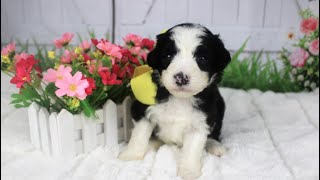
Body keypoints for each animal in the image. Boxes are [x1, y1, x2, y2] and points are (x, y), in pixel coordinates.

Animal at [117, 23, 230, 179]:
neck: (180, 99)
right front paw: (131, 156)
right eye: (168, 56)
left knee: (215, 132)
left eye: (202, 58)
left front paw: (189, 172)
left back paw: (215, 145)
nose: (181, 77)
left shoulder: (201, 121)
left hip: (220, 106)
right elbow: (139, 135)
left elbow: (192, 150)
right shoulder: (144, 110)